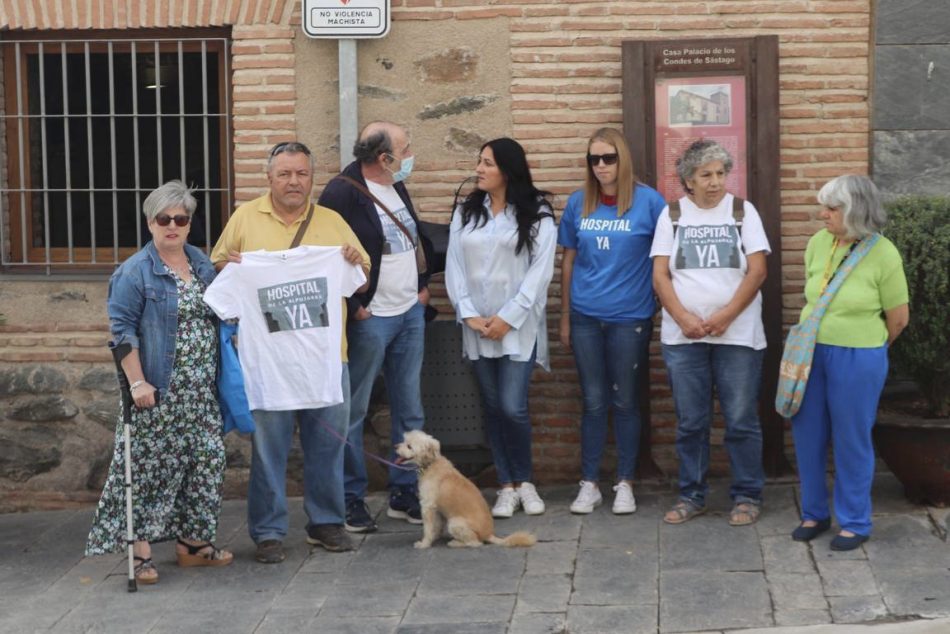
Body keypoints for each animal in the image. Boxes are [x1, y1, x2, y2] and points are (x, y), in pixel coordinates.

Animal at [394, 430, 536, 548]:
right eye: (404, 441)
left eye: (409, 446)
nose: (395, 446)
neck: (431, 464)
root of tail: (488, 534)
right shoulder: (436, 509)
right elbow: (437, 526)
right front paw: (435, 537)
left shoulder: (427, 506)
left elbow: (428, 529)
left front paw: (424, 544)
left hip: (455, 522)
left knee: (475, 543)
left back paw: (455, 543)